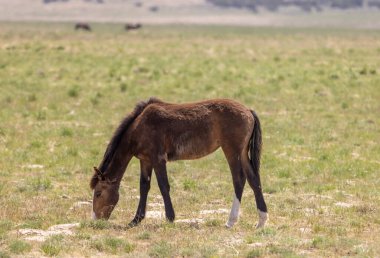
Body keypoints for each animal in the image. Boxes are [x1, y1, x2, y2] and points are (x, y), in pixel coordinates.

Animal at [90, 98, 268, 228]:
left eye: (98, 193)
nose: (95, 220)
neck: (139, 126)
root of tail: (248, 111)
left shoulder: (158, 160)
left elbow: (163, 186)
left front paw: (170, 217)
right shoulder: (145, 161)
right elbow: (144, 187)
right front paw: (136, 220)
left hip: (232, 151)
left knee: (239, 180)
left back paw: (231, 221)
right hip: (243, 153)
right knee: (254, 180)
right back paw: (261, 220)